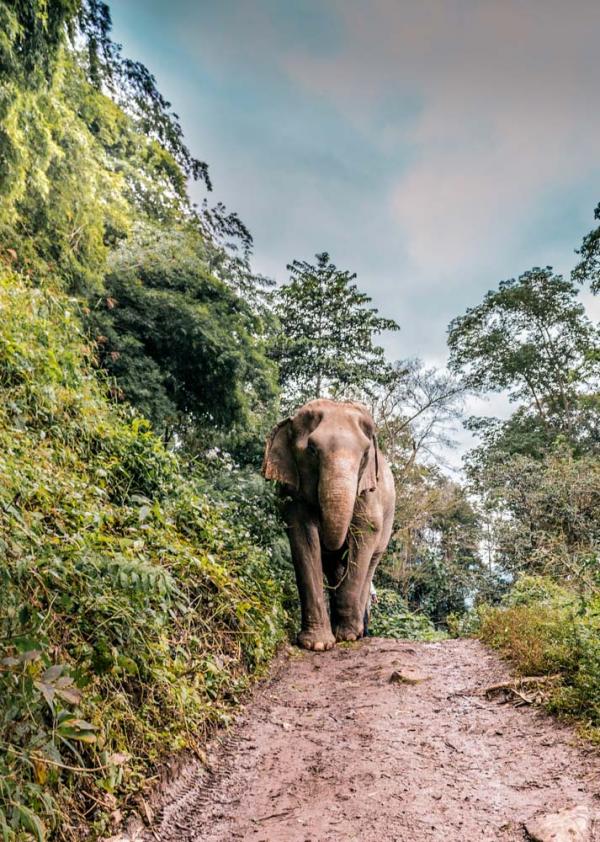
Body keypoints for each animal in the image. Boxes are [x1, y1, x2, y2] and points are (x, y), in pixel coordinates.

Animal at [262, 398, 394, 648]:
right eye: (312, 450)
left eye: (365, 454)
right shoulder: (293, 492)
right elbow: (303, 536)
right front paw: (317, 645)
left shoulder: (368, 492)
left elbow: (365, 532)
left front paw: (347, 636)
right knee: (334, 567)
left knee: (369, 562)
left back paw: (357, 631)